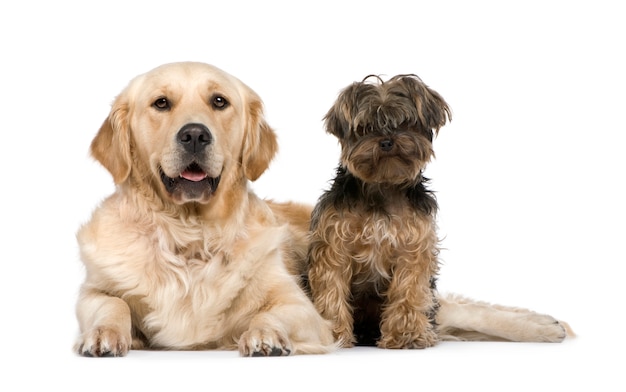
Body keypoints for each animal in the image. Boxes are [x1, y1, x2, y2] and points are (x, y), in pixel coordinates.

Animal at [74, 62, 572, 358]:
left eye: (220, 102)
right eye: (160, 103)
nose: (195, 134)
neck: (189, 235)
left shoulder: (307, 304)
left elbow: (270, 313)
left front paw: (265, 335)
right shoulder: (95, 292)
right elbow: (110, 306)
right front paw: (104, 335)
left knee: (456, 309)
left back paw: (545, 326)